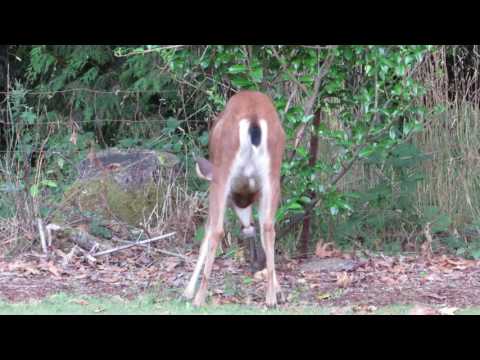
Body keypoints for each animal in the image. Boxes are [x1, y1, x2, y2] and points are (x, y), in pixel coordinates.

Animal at [183, 90, 284, 306]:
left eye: (234, 201)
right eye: (241, 202)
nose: (247, 226)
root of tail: (254, 116)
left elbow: (207, 232)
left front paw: (187, 292)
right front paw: (278, 290)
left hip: (223, 170)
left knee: (216, 230)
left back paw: (198, 299)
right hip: (272, 174)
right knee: (269, 228)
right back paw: (271, 298)